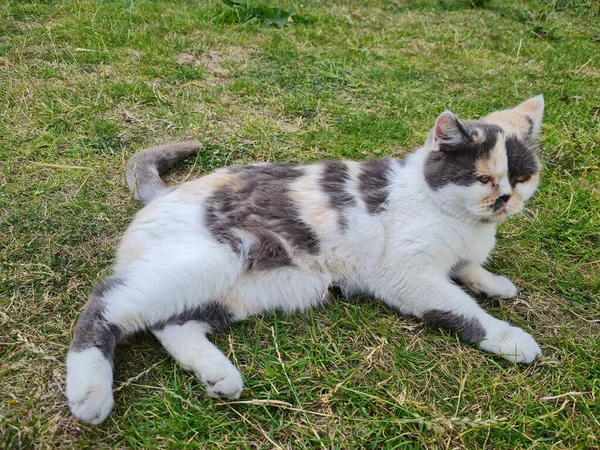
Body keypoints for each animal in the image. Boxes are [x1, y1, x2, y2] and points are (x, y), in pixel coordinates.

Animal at [64, 96, 544, 424]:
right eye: (481, 178)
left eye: (523, 177)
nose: (505, 199)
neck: (456, 216)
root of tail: (166, 194)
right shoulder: (406, 276)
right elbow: (461, 309)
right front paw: (510, 338)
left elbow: (466, 267)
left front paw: (493, 281)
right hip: (217, 258)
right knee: (107, 304)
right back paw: (90, 393)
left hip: (245, 290)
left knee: (170, 323)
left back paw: (219, 375)